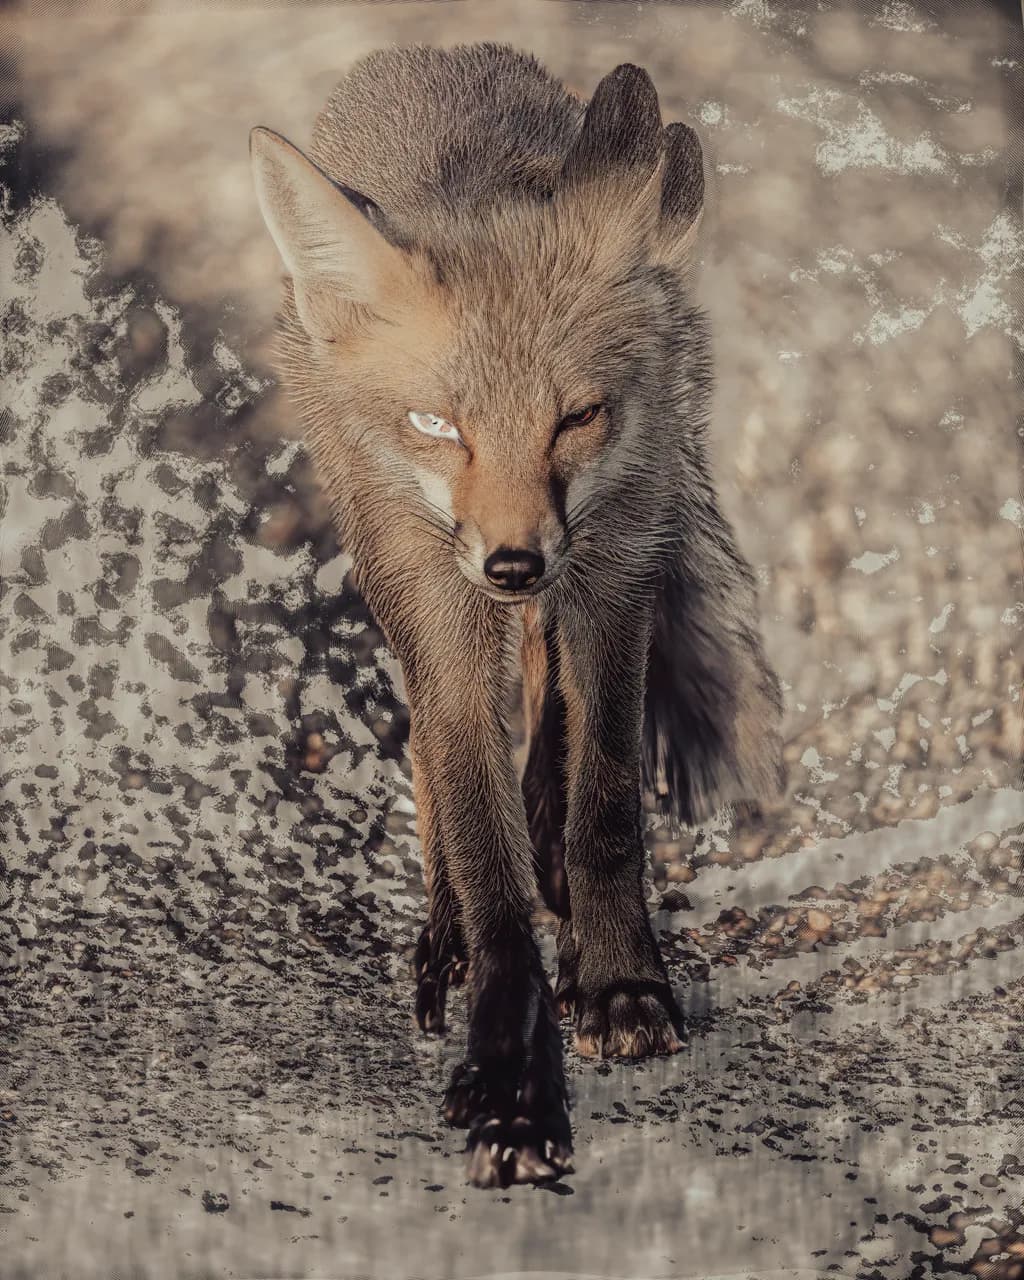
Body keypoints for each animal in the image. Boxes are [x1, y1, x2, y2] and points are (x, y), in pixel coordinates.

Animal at [249, 41, 785, 1189]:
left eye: (575, 416)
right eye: (435, 423)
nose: (510, 560)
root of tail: (432, 55)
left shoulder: (615, 571)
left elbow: (606, 804)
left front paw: (618, 976)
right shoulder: (439, 603)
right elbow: (480, 841)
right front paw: (509, 1074)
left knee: (547, 708)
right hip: (397, 563)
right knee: (432, 755)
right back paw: (445, 932)